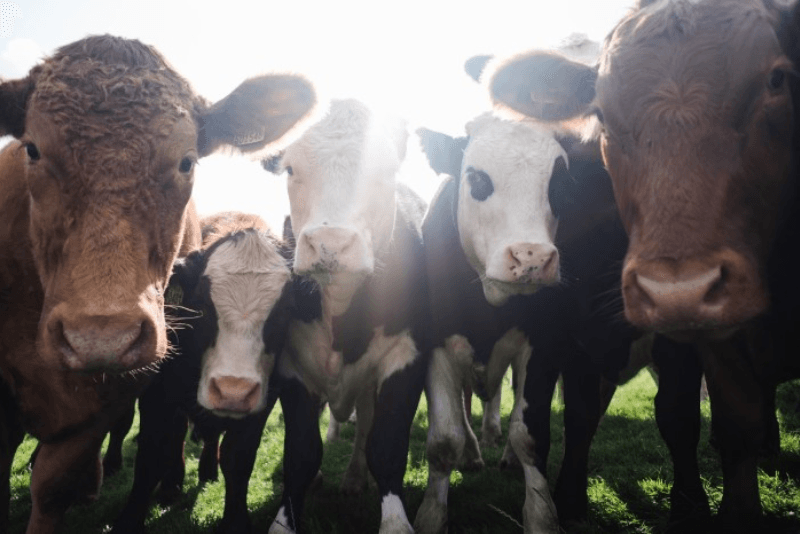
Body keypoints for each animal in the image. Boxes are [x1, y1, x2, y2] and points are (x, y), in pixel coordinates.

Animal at [111, 212, 320, 534]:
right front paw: (129, 520)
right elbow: (150, 455)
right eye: (202, 305)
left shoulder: (260, 404)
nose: (232, 390)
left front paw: (235, 521)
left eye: (284, 311)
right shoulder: (157, 395)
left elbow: (238, 459)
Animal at [265, 99, 430, 534]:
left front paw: (395, 522)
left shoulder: (406, 357)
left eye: (385, 170)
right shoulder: (292, 366)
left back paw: (355, 478)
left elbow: (385, 446)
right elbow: (301, 454)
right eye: (291, 169)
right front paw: (284, 520)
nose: (330, 243)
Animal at [414, 103, 638, 533]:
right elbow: (445, 439)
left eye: (561, 185)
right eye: (477, 178)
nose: (531, 257)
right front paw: (431, 515)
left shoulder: (544, 345)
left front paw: (541, 515)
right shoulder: (437, 342)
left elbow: (530, 436)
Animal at [483, 0, 800, 531]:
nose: (679, 289)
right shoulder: (573, 332)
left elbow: (678, 416)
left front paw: (690, 507)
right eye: (600, 111)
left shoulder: (681, 342)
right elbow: (580, 413)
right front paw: (570, 499)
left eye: (777, 79)